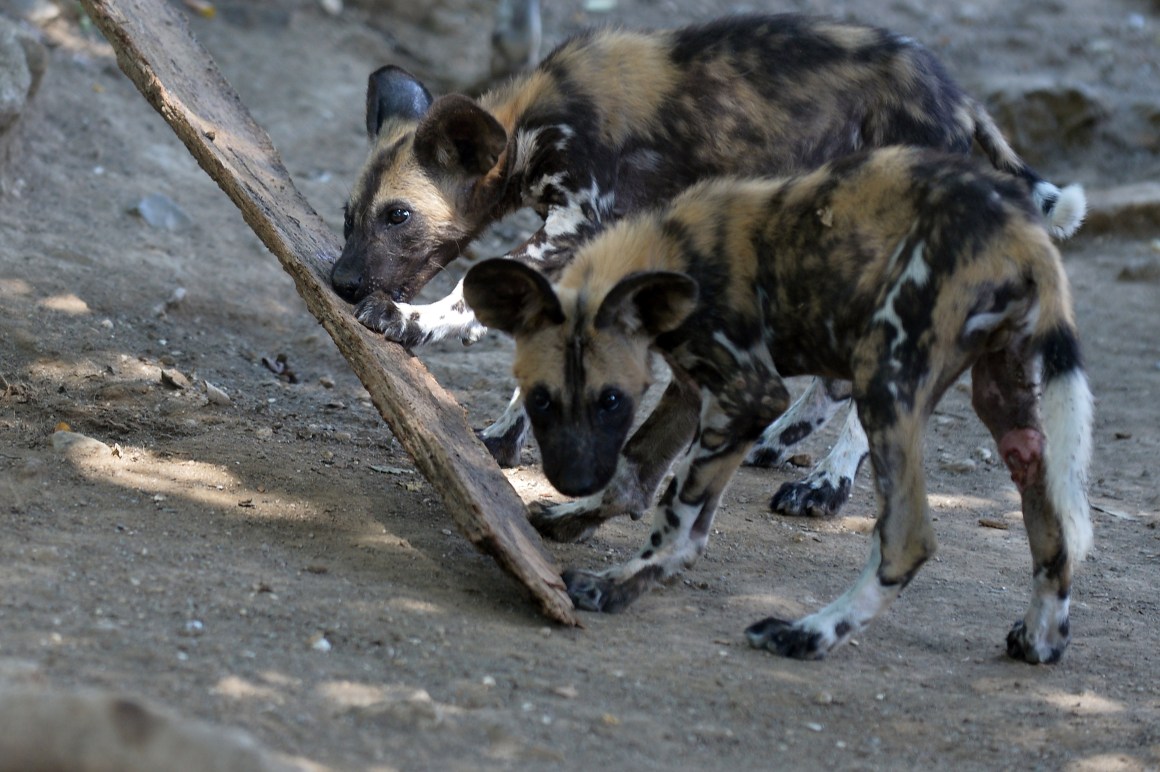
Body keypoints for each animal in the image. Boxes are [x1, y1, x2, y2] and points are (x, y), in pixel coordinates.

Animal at [334, 13, 1085, 528]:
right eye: (349, 216)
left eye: (397, 216)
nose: (341, 282)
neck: (529, 126)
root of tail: (958, 98)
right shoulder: (590, 236)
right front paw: (505, 434)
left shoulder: (577, 224)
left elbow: (471, 290)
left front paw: (407, 320)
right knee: (840, 377)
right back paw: (782, 443)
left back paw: (828, 484)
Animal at [464, 146, 1095, 663]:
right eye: (541, 401)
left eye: (610, 401)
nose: (572, 478)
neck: (673, 251)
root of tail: (1023, 234)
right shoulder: (693, 387)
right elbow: (635, 474)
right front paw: (575, 518)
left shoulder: (747, 394)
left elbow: (679, 520)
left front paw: (619, 585)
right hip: (1001, 395)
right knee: (1050, 521)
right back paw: (1041, 638)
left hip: (885, 382)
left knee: (907, 538)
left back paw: (808, 633)